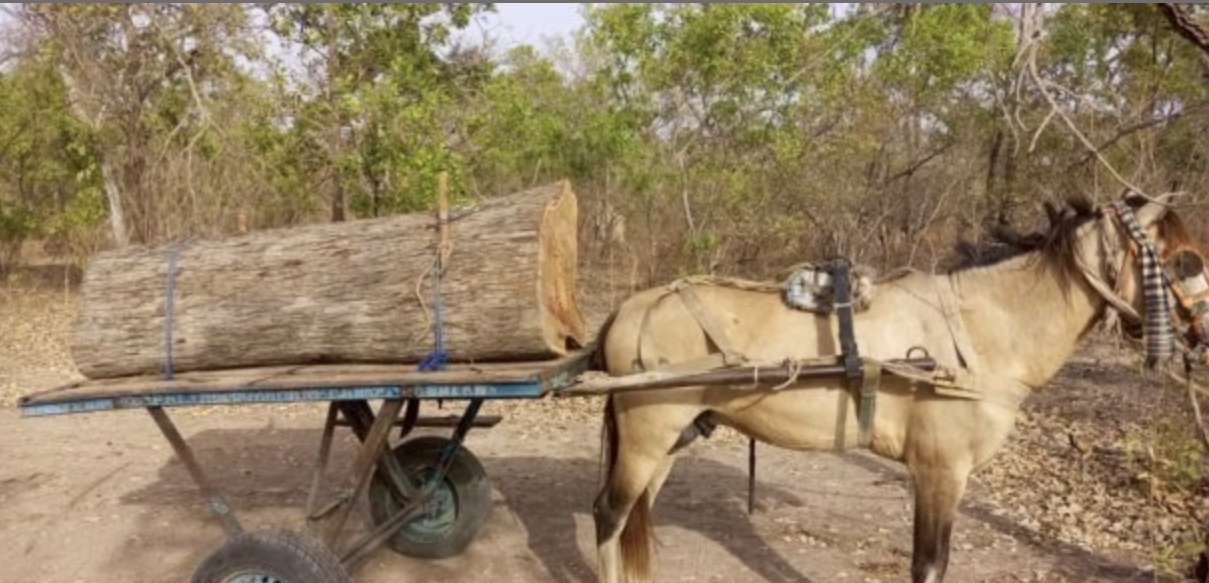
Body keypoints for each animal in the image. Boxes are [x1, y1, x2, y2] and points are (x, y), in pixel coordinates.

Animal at [589, 192, 1209, 583]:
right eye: (1185, 261)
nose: (1202, 334)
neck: (976, 332)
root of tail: (630, 308)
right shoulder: (940, 471)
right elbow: (929, 563)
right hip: (647, 434)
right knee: (609, 515)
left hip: (674, 437)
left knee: (634, 514)